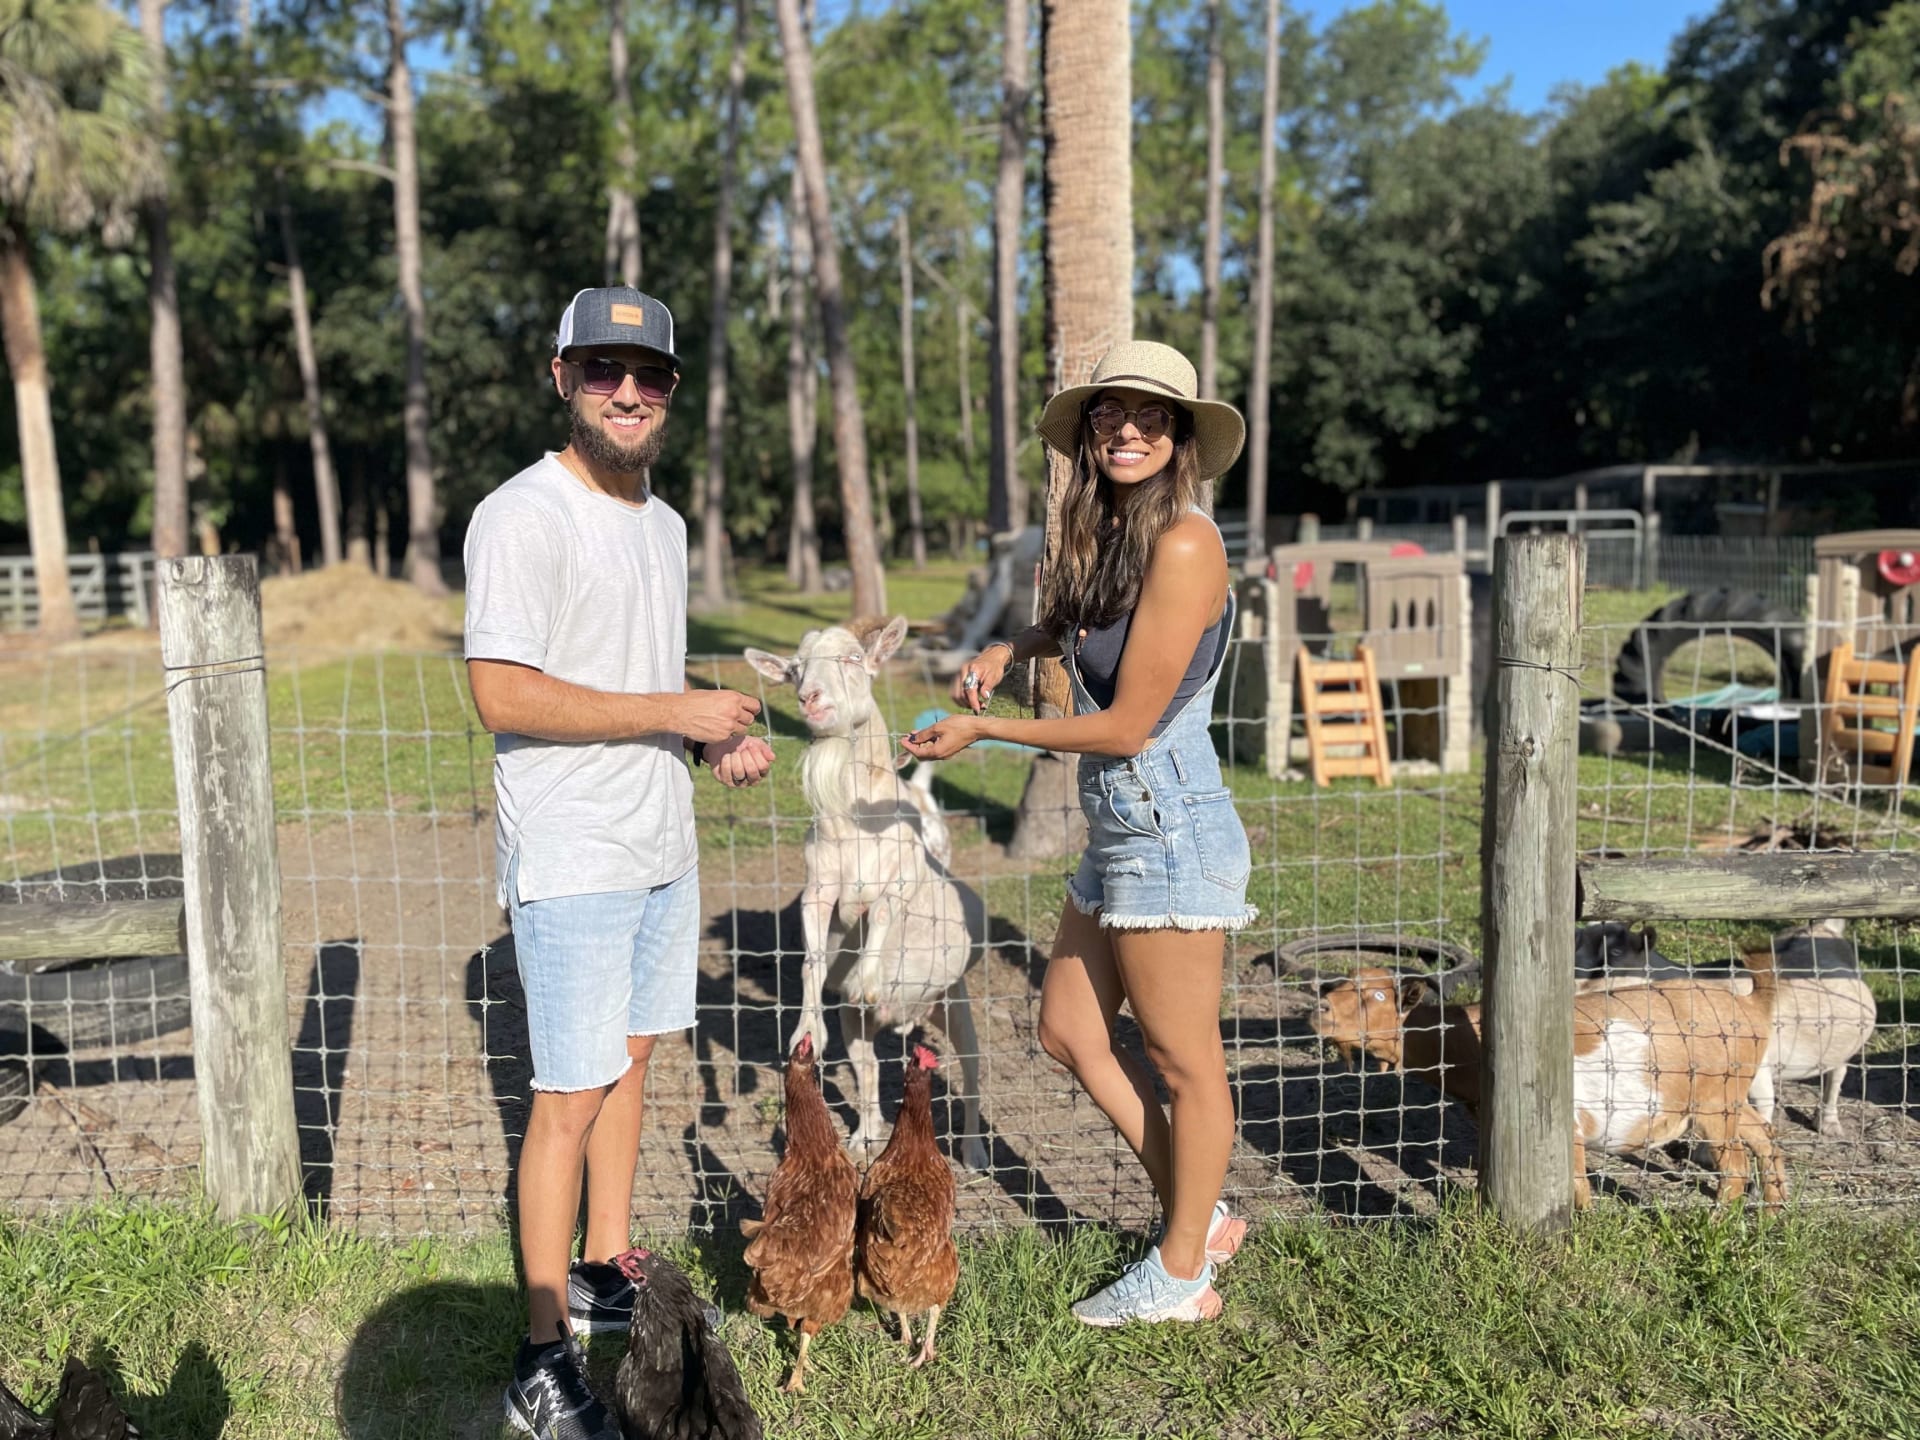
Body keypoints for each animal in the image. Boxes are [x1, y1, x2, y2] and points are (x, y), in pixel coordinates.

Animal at [744, 618, 990, 1175]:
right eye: (795, 669)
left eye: (854, 658)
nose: (810, 698)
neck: (855, 820)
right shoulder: (819, 890)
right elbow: (812, 961)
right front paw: (805, 1032)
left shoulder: (894, 884)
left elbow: (879, 917)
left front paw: (868, 979)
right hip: (861, 1026)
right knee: (871, 1069)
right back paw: (864, 1139)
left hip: (956, 1001)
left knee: (970, 1073)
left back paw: (973, 1152)